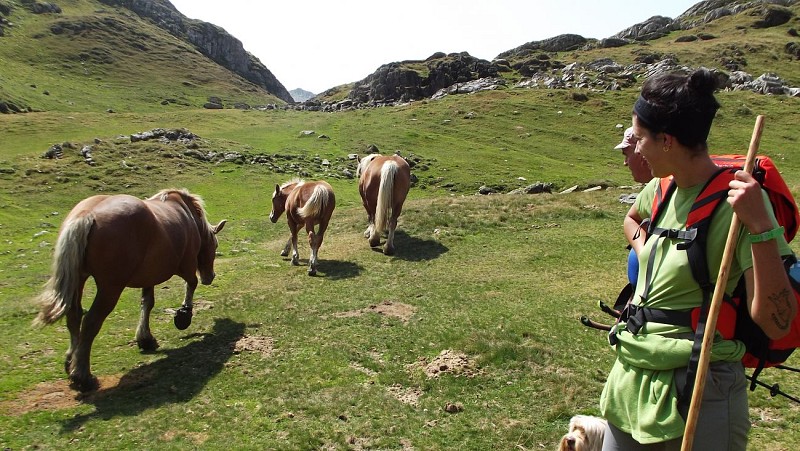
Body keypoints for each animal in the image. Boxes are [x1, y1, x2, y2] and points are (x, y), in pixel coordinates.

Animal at [34, 189, 225, 394]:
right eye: (215, 245)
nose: (210, 276)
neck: (188, 217)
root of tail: (86, 215)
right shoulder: (187, 265)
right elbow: (191, 285)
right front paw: (184, 315)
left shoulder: (150, 277)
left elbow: (147, 303)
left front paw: (145, 338)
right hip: (110, 288)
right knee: (90, 322)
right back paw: (83, 376)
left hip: (79, 279)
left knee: (74, 316)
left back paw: (72, 363)